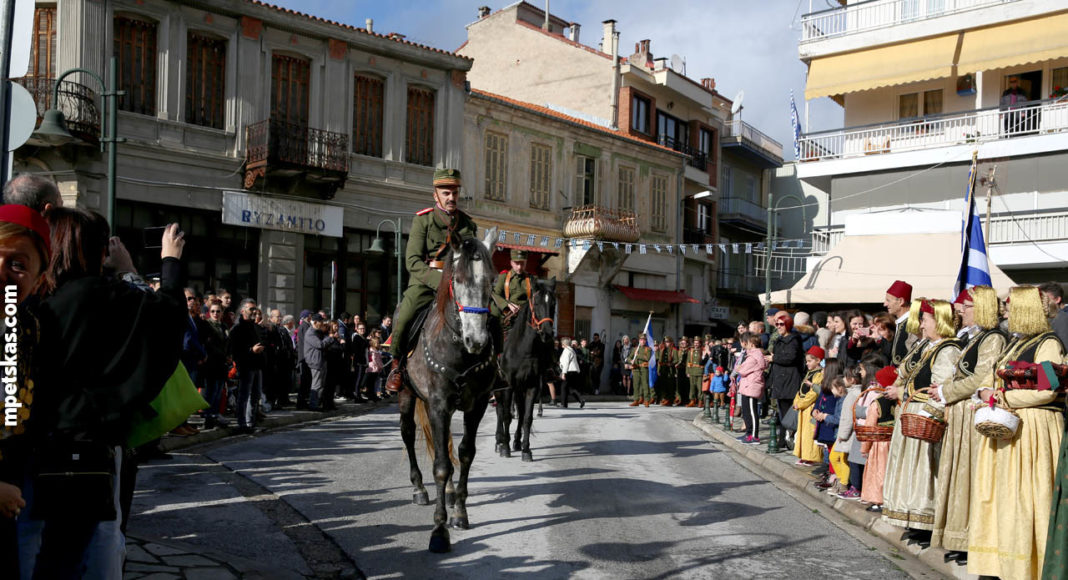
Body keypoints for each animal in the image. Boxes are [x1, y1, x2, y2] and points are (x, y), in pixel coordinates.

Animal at [398, 226, 499, 554]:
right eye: (458, 280)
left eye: (491, 280)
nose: (477, 340)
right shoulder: (438, 404)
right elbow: (441, 465)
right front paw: (439, 530)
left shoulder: (476, 404)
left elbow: (464, 454)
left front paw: (460, 513)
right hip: (407, 394)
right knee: (407, 433)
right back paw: (418, 487)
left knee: (450, 446)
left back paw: (452, 493)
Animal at [495, 277, 556, 462]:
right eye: (536, 303)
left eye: (553, 303)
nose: (547, 333)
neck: (523, 349)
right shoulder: (507, 386)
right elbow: (506, 415)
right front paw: (505, 447)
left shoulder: (532, 385)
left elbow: (527, 417)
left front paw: (526, 449)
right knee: (500, 410)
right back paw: (499, 441)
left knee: (520, 413)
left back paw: (515, 441)